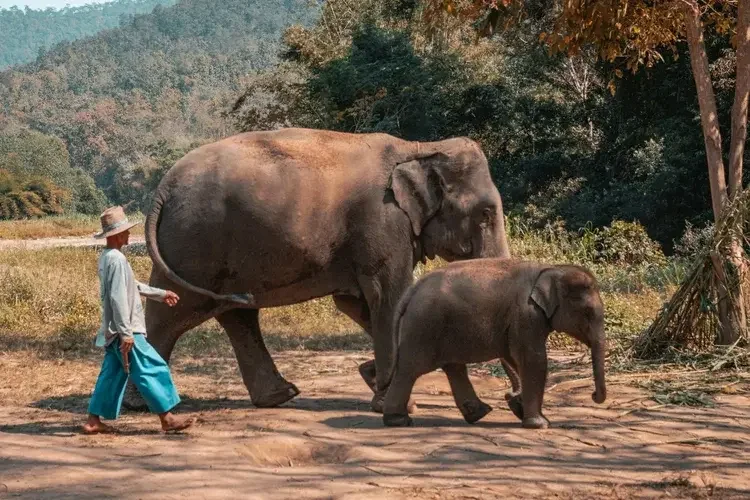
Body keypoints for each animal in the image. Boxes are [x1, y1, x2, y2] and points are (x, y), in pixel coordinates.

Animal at [123, 127, 511, 412]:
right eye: (486, 214)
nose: (511, 402)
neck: (421, 147)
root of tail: (162, 188)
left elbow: (357, 303)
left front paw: (375, 380)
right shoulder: (382, 224)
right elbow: (389, 296)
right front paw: (391, 400)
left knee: (236, 313)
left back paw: (279, 396)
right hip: (195, 243)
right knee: (172, 312)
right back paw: (142, 405)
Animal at [381, 258, 607, 429]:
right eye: (588, 313)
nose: (593, 395)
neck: (551, 269)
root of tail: (412, 290)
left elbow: (516, 358)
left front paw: (519, 407)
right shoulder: (526, 315)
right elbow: (534, 360)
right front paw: (540, 424)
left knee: (453, 367)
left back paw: (479, 414)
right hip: (424, 327)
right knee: (410, 369)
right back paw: (398, 420)